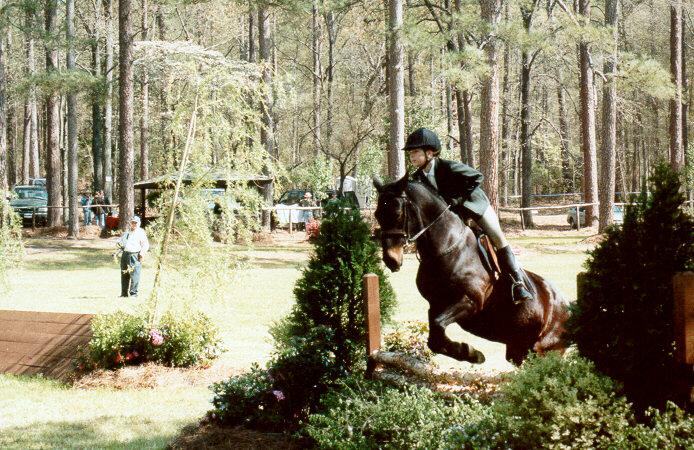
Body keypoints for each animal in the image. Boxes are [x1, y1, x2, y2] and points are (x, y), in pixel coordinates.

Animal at [376, 176, 572, 366]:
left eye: (397, 213)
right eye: (377, 215)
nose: (391, 259)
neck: (448, 248)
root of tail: (568, 306)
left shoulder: (470, 301)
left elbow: (438, 326)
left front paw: (472, 353)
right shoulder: (436, 304)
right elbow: (435, 337)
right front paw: (469, 353)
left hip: (543, 352)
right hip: (518, 350)